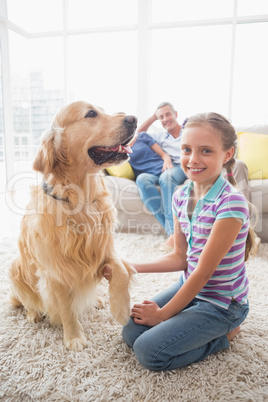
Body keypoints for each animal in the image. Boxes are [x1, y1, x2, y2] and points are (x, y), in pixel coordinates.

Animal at [9, 101, 137, 352]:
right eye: (91, 114)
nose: (134, 119)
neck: (81, 200)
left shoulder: (104, 249)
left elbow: (121, 270)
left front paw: (121, 309)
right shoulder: (56, 272)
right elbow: (66, 309)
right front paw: (74, 337)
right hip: (15, 268)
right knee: (28, 299)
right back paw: (32, 314)